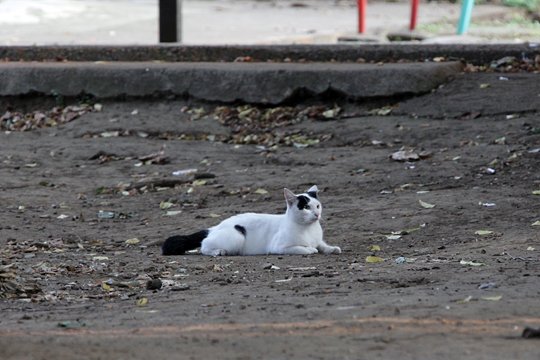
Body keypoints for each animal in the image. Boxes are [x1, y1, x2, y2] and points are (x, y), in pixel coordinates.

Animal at [161, 186, 342, 256]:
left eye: (317, 206)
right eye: (305, 207)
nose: (317, 214)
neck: (309, 229)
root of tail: (214, 227)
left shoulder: (318, 240)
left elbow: (322, 245)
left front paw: (332, 248)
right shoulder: (279, 247)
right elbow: (302, 248)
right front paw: (310, 250)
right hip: (237, 236)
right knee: (204, 246)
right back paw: (218, 252)